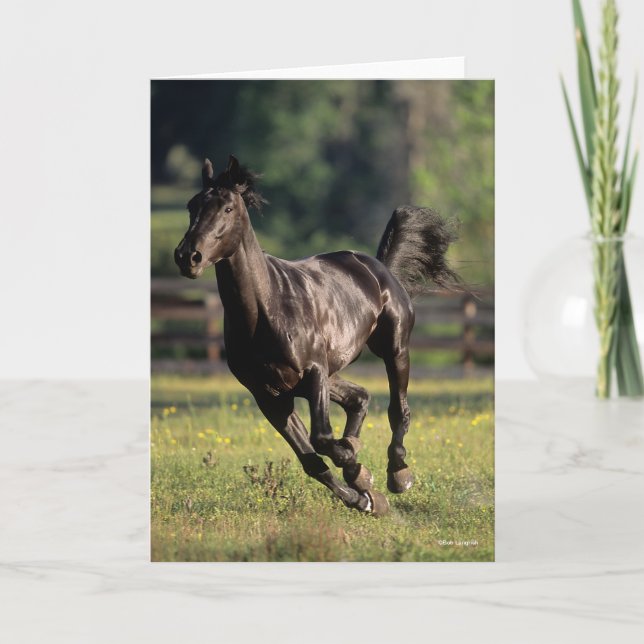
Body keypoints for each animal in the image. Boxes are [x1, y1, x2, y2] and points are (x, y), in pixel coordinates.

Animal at [174, 155, 459, 516]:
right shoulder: (269, 395)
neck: (268, 308)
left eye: (227, 208)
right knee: (359, 398)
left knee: (398, 410)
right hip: (327, 374)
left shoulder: (313, 373)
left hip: (393, 350)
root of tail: (379, 268)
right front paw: (364, 497)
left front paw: (358, 470)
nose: (188, 256)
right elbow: (311, 459)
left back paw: (398, 474)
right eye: (191, 205)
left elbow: (322, 438)